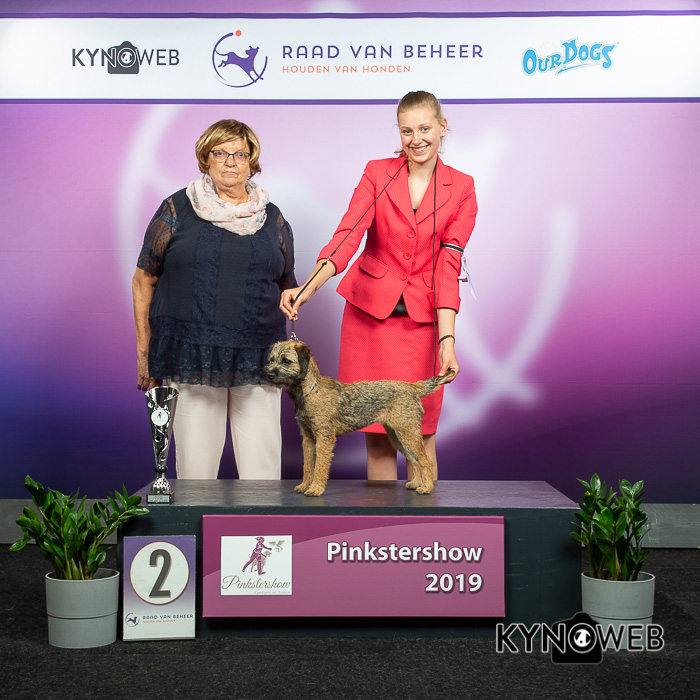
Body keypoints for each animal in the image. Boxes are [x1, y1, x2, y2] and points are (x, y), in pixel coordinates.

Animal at [264, 340, 454, 496]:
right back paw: (415, 483)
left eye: (286, 361)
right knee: (414, 459)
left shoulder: (324, 438)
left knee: (426, 460)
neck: (311, 390)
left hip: (408, 433)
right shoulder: (308, 438)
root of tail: (413, 387)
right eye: (271, 360)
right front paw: (305, 486)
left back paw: (426, 487)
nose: (269, 375)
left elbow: (319, 466)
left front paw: (316, 489)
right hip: (398, 436)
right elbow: (308, 465)